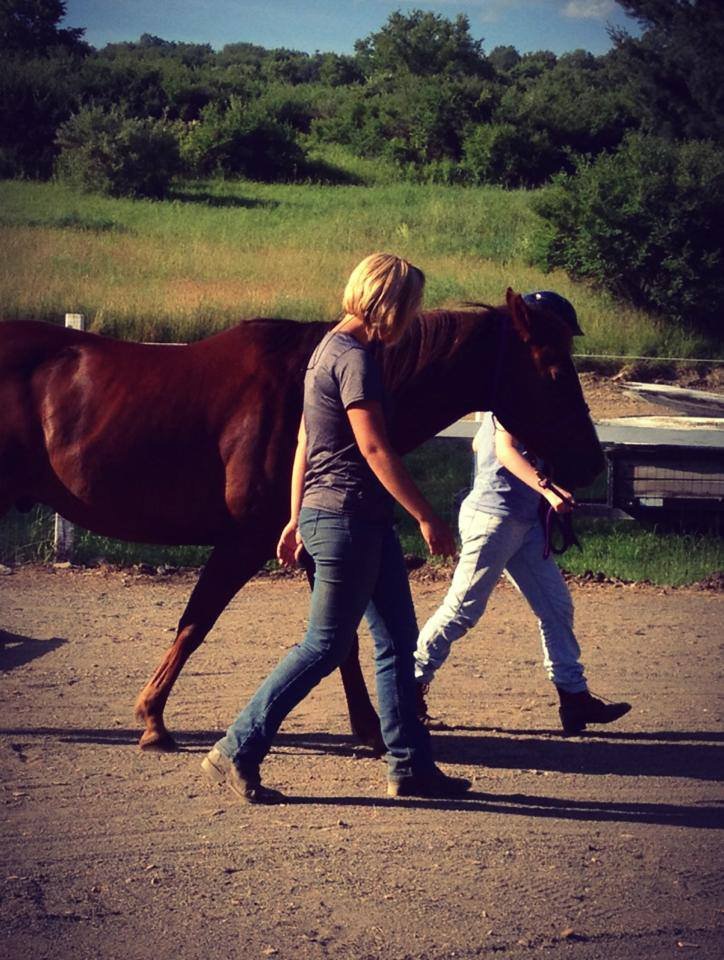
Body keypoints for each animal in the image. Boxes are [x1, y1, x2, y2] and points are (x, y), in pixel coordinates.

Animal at [0, 289, 604, 752]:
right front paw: (152, 718)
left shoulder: (318, 541)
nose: (593, 463)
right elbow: (196, 624)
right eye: (554, 370)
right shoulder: (247, 541)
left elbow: (343, 640)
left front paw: (369, 729)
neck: (314, 393)